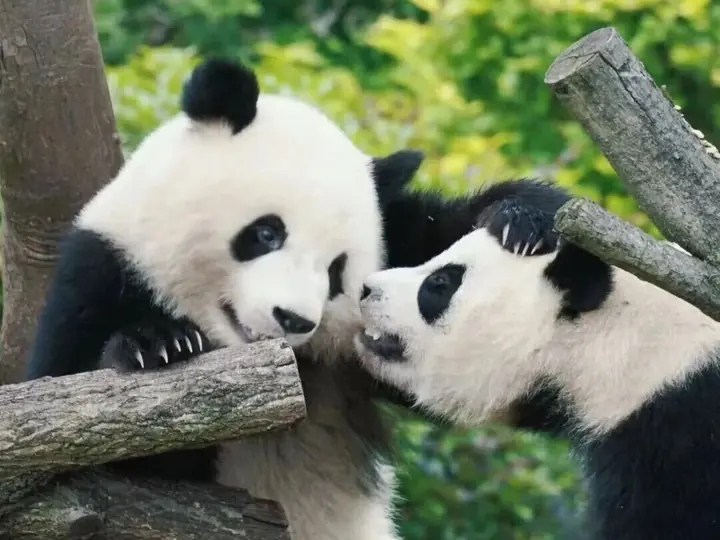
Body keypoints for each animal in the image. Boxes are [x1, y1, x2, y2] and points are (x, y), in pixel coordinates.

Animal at [25, 58, 565, 540]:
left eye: (336, 270)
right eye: (266, 233)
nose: (293, 319)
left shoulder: (392, 258)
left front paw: (523, 220)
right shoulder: (98, 276)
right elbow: (99, 453)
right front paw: (157, 344)